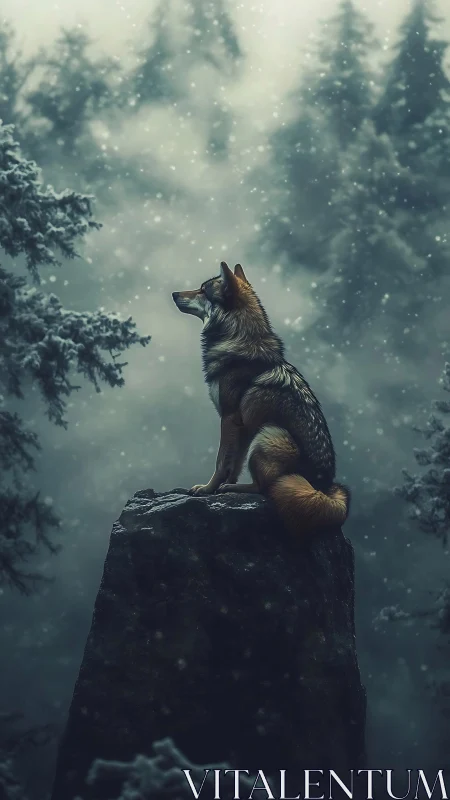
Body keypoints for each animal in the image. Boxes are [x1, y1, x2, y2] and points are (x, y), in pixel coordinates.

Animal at [172, 262, 350, 535]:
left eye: (203, 290)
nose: (173, 294)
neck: (237, 339)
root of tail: (324, 489)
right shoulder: (243, 426)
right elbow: (233, 463)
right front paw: (221, 490)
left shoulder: (229, 418)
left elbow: (220, 461)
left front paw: (208, 489)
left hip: (270, 433)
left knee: (264, 488)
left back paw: (235, 489)